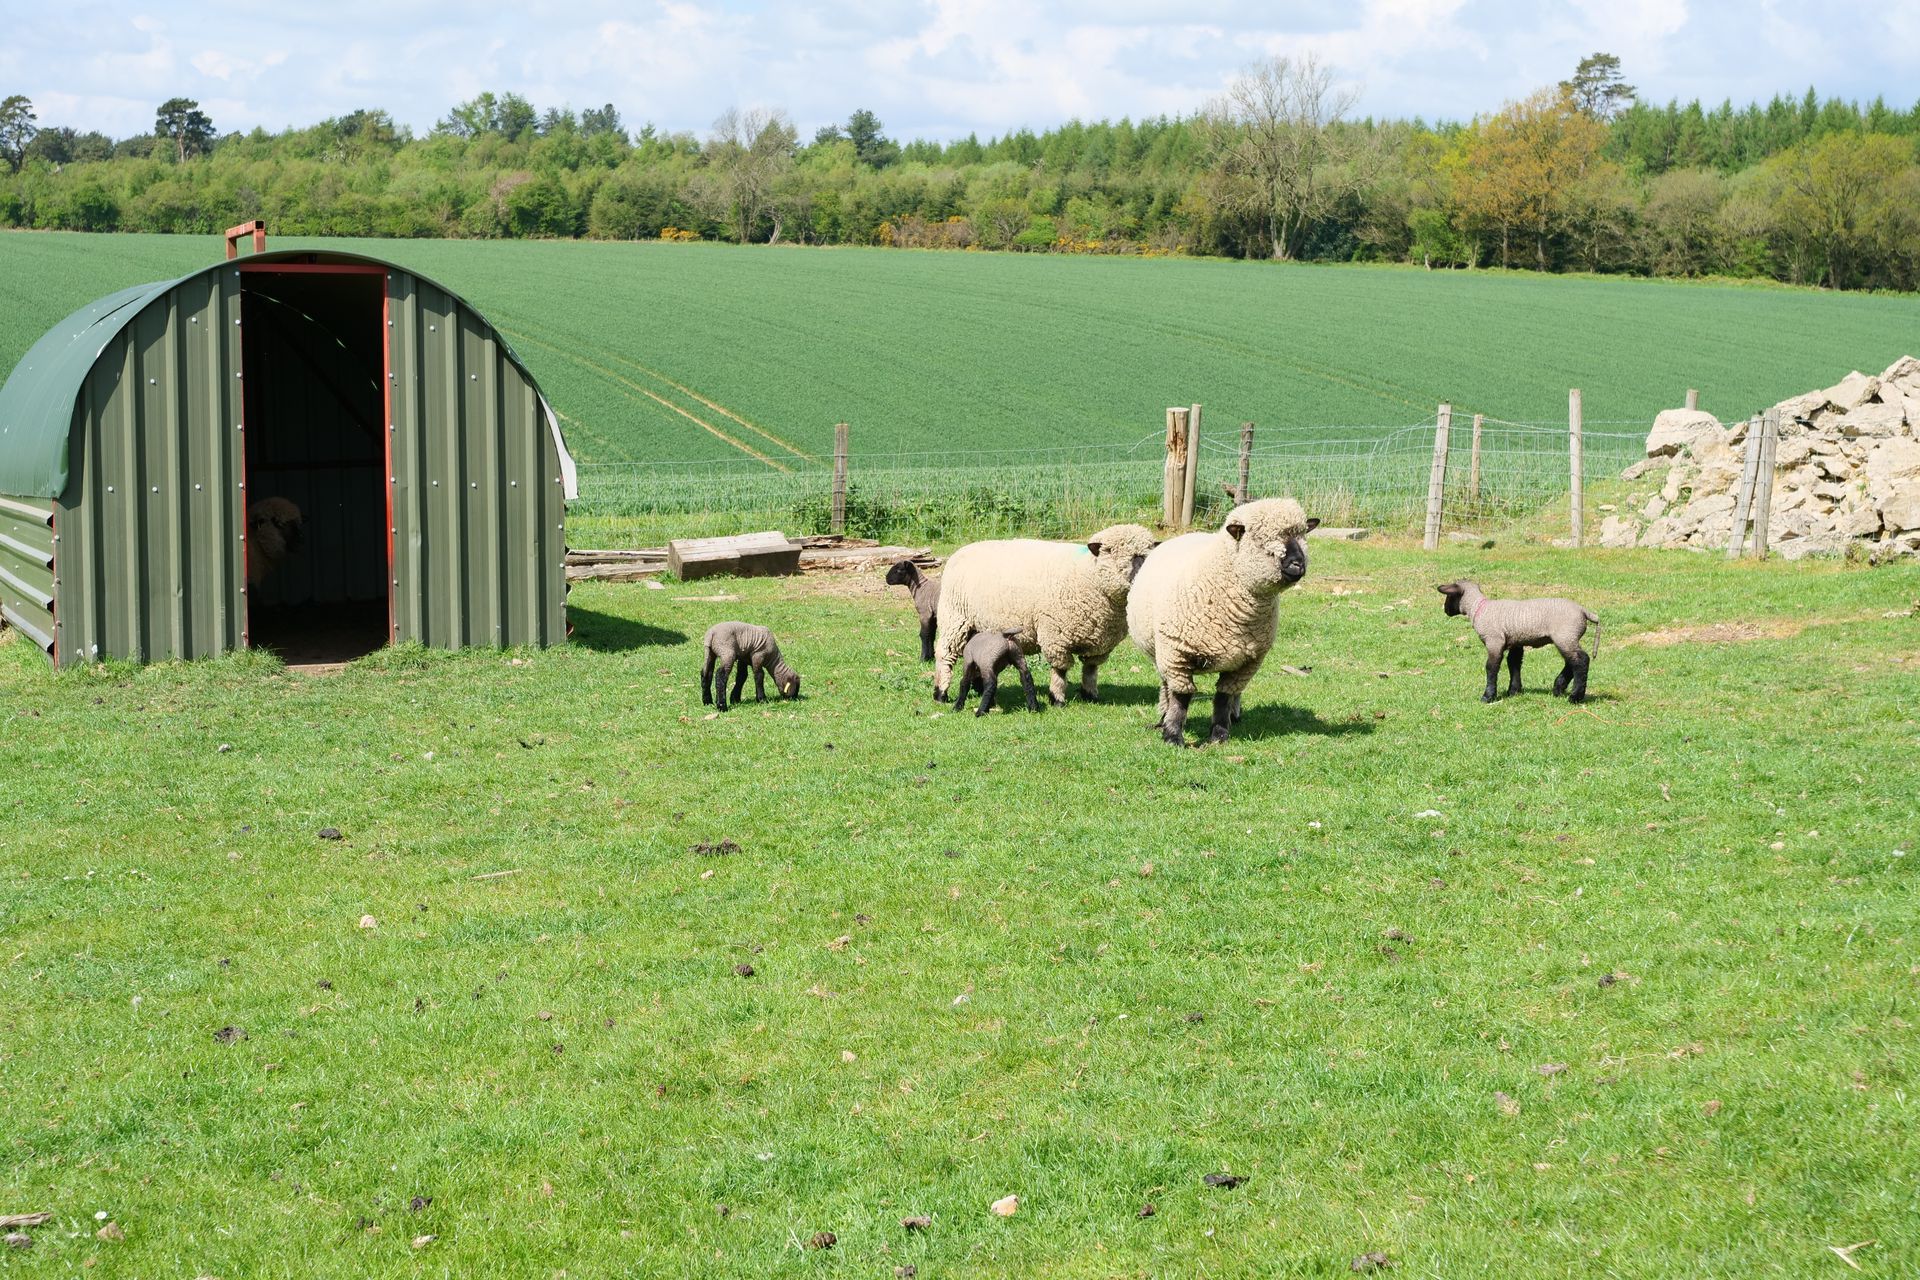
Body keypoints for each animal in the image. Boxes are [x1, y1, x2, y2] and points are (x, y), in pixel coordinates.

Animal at [932, 523, 1157, 707]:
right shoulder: (1056, 635)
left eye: (1146, 552)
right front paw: (1056, 698)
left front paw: (1090, 695)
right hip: (955, 619)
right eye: (1109, 551)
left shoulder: (1100, 641)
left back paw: (978, 689)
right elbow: (1060, 670)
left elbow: (1090, 669)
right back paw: (941, 693)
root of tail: (959, 552)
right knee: (945, 654)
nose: (1137, 569)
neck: (1086, 575)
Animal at [1127, 498, 1319, 746]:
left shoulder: (1249, 662)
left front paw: (1218, 736)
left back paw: (1234, 716)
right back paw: (1162, 719)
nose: (1298, 564)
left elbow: (1224, 697)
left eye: (1303, 535)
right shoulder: (1176, 653)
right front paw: (1173, 736)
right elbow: (1181, 697)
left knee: (1234, 694)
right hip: (1161, 653)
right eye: (1260, 538)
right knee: (1167, 687)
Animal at [1435, 581, 1598, 703]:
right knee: (1572, 661)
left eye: (1449, 596)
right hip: (1566, 638)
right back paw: (1558, 688)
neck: (1478, 608)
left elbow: (1491, 667)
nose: (1445, 610)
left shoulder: (1494, 641)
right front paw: (1514, 691)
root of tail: (1584, 611)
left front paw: (1488, 696)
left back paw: (1575, 697)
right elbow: (1514, 663)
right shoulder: (1516, 642)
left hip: (1565, 636)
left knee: (1581, 661)